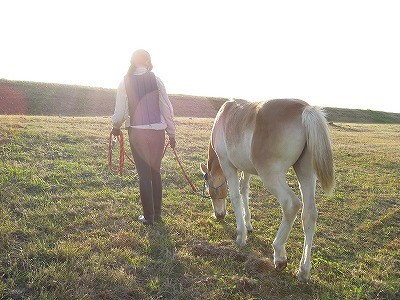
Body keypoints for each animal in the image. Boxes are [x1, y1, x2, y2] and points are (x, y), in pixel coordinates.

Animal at [200, 98, 334, 282]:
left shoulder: (227, 164)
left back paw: (279, 254)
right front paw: (248, 224)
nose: (219, 215)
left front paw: (241, 235)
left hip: (271, 175)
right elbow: (244, 190)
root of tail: (304, 109)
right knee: (309, 213)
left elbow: (235, 196)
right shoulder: (246, 169)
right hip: (305, 171)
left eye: (210, 190)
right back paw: (304, 270)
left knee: (291, 205)